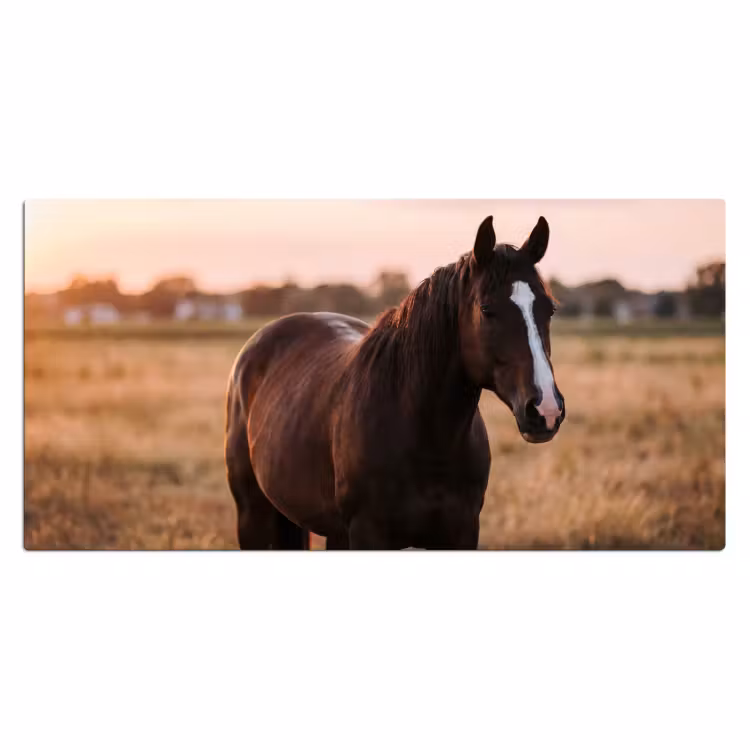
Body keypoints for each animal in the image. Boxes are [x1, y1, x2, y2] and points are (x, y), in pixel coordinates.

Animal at [224, 215, 566, 550]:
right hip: (253, 516)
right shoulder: (368, 533)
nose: (545, 409)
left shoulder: (462, 532)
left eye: (549, 309)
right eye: (486, 309)